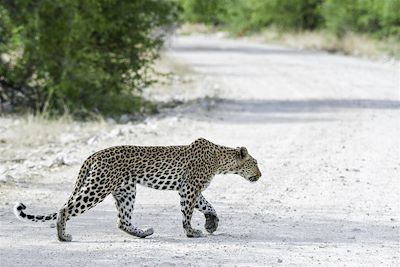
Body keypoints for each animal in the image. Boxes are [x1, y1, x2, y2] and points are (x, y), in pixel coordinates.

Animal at [12, 138, 260, 243]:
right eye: (255, 162)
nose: (260, 175)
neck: (221, 161)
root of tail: (94, 155)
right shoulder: (189, 188)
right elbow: (188, 213)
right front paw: (191, 232)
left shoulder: (189, 188)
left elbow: (208, 205)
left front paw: (211, 224)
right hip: (98, 187)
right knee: (65, 209)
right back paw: (63, 237)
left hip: (126, 191)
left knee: (122, 220)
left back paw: (142, 233)